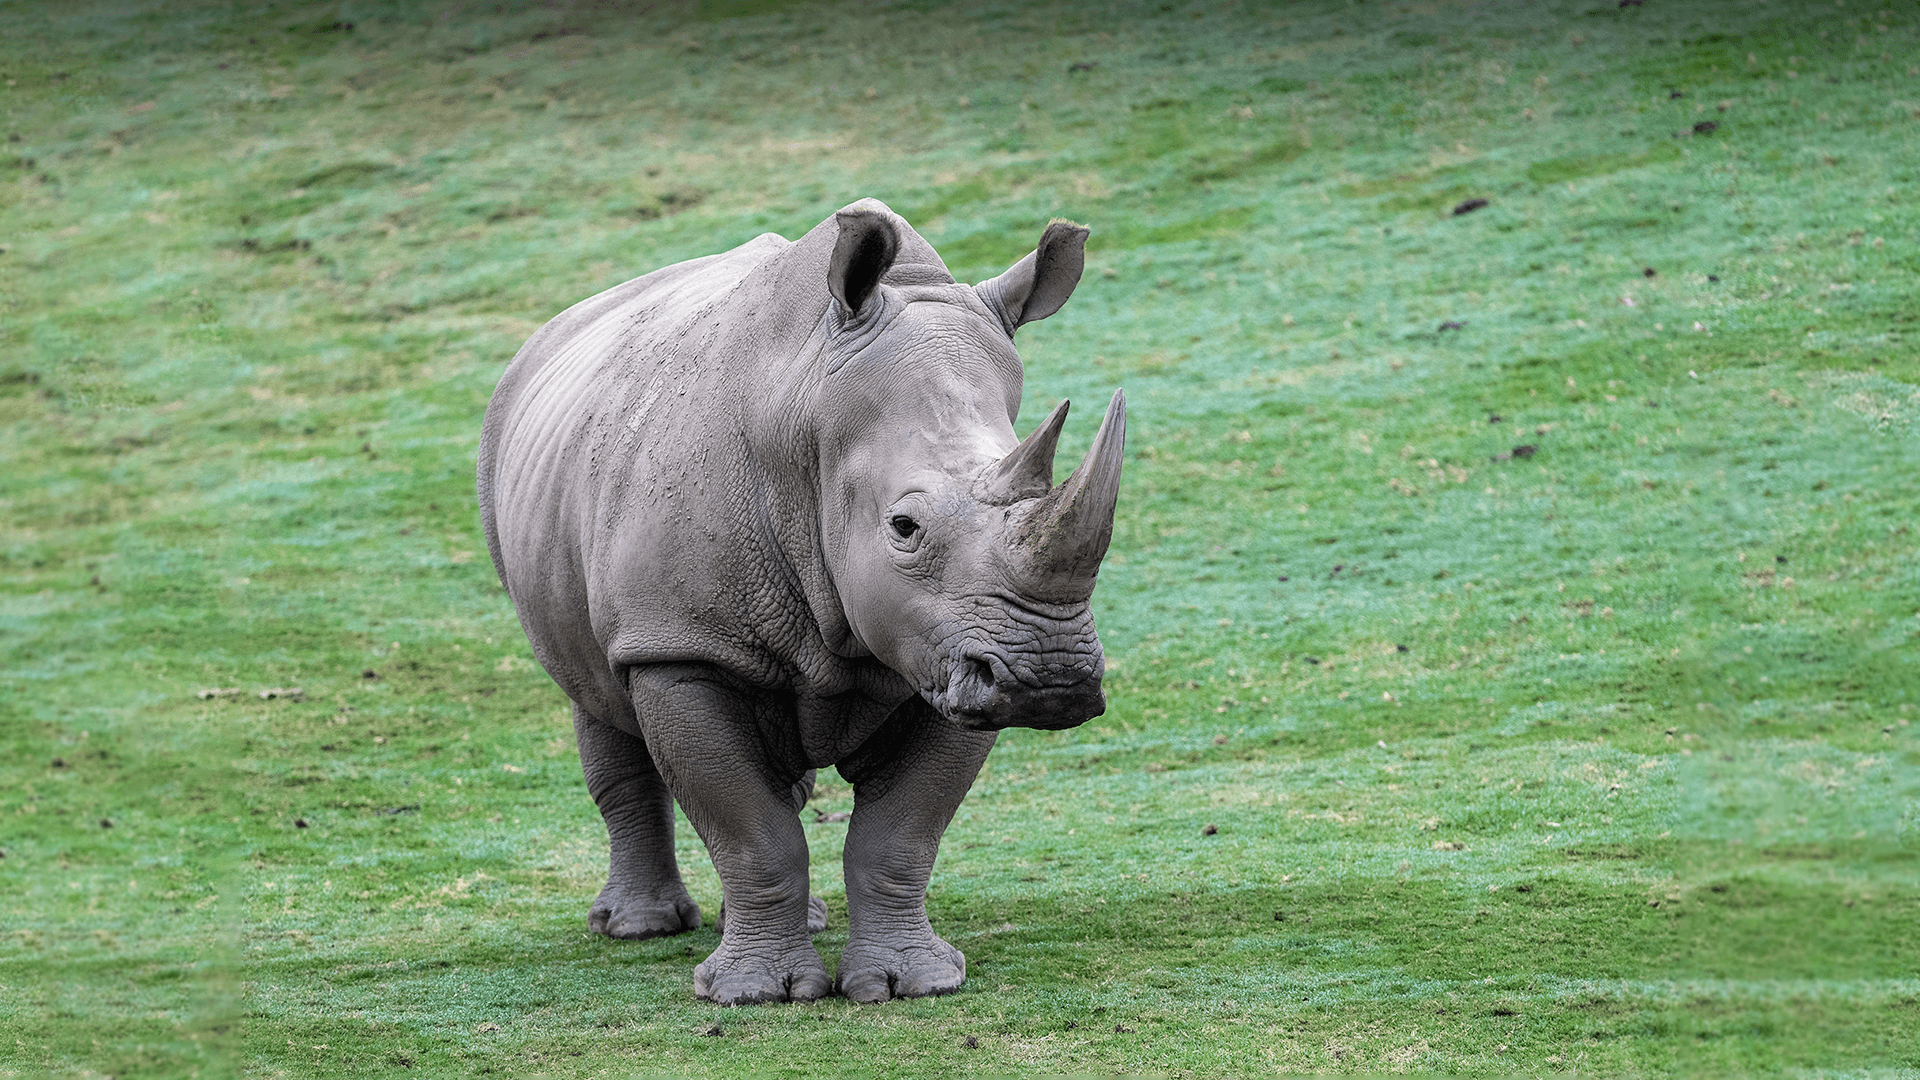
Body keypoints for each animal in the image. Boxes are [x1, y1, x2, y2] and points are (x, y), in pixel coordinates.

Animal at [476, 199, 1125, 1005]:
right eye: (903, 527)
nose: (1052, 678)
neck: (808, 422)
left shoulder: (950, 650)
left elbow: (900, 834)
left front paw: (910, 983)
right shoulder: (680, 644)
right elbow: (750, 831)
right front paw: (755, 995)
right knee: (595, 695)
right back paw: (637, 928)